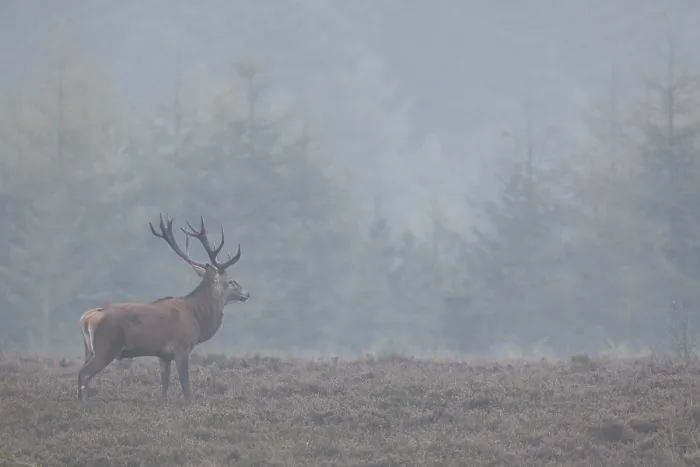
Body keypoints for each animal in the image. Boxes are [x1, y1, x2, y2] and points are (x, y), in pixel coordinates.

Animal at [77, 213, 250, 403]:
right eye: (231, 281)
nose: (247, 293)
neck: (197, 317)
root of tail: (87, 318)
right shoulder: (182, 347)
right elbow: (185, 384)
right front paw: (190, 403)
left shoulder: (163, 354)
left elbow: (165, 383)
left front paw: (163, 403)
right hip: (106, 346)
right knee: (84, 374)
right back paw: (85, 404)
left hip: (88, 349)